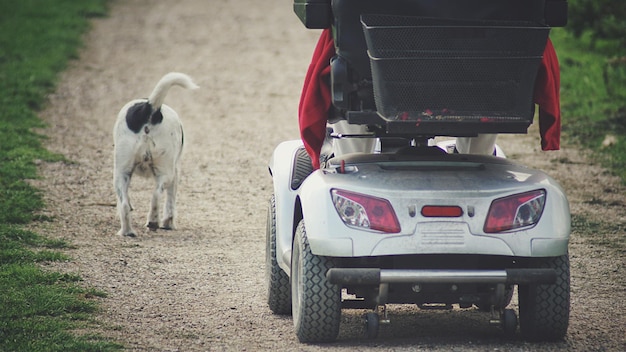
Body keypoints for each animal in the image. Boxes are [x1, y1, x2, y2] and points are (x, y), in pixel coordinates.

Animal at [112, 72, 197, 236]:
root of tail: (150, 108)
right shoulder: (176, 172)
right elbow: (170, 202)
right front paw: (168, 223)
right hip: (166, 172)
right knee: (156, 195)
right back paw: (153, 222)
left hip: (121, 173)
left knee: (125, 204)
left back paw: (127, 232)